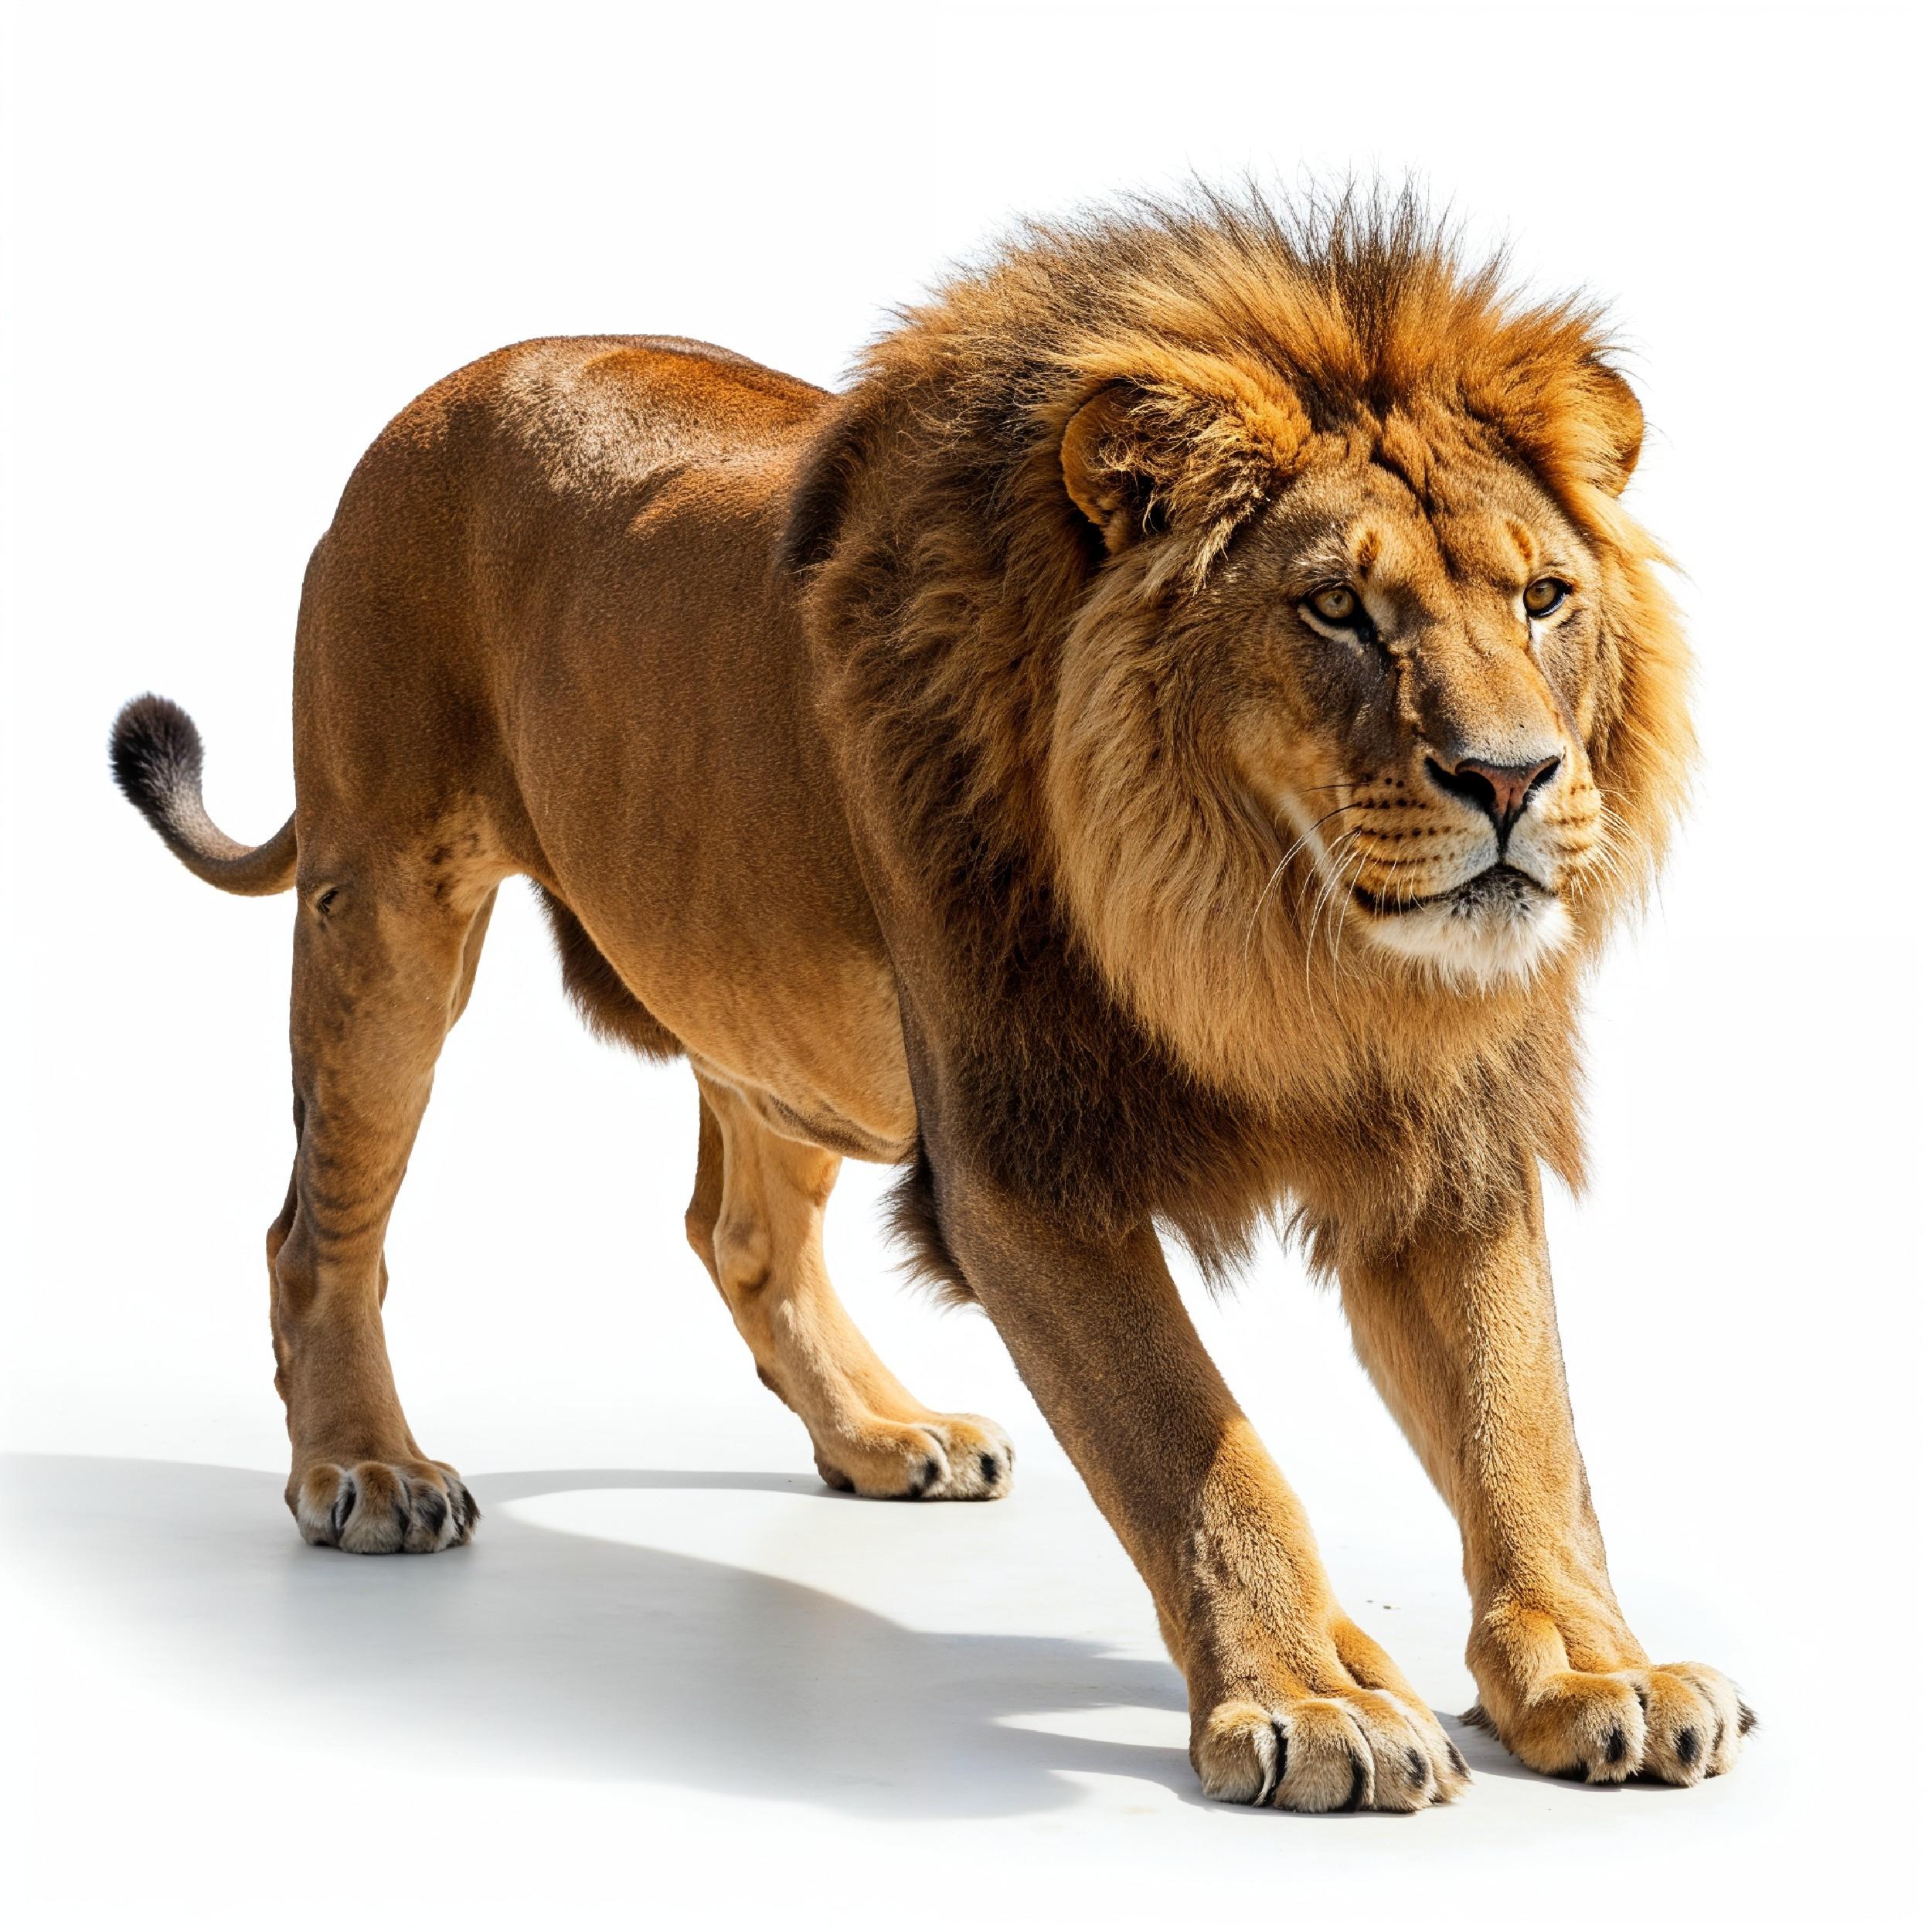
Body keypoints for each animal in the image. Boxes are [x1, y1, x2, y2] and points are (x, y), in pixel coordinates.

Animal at [111, 187, 1751, 1811]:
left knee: (741, 1229)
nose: (1513, 779)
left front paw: (1593, 1672)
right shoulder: (1026, 1160)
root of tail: (452, 387)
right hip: (387, 910)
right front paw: (1313, 1697)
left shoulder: (1448, 1136)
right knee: (319, 1229)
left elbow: (1521, 1427)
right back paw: (365, 1470)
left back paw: (882, 1433)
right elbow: (1193, 1446)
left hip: (778, 1003)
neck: (1269, 936)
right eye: (1337, 607)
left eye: (1544, 600)